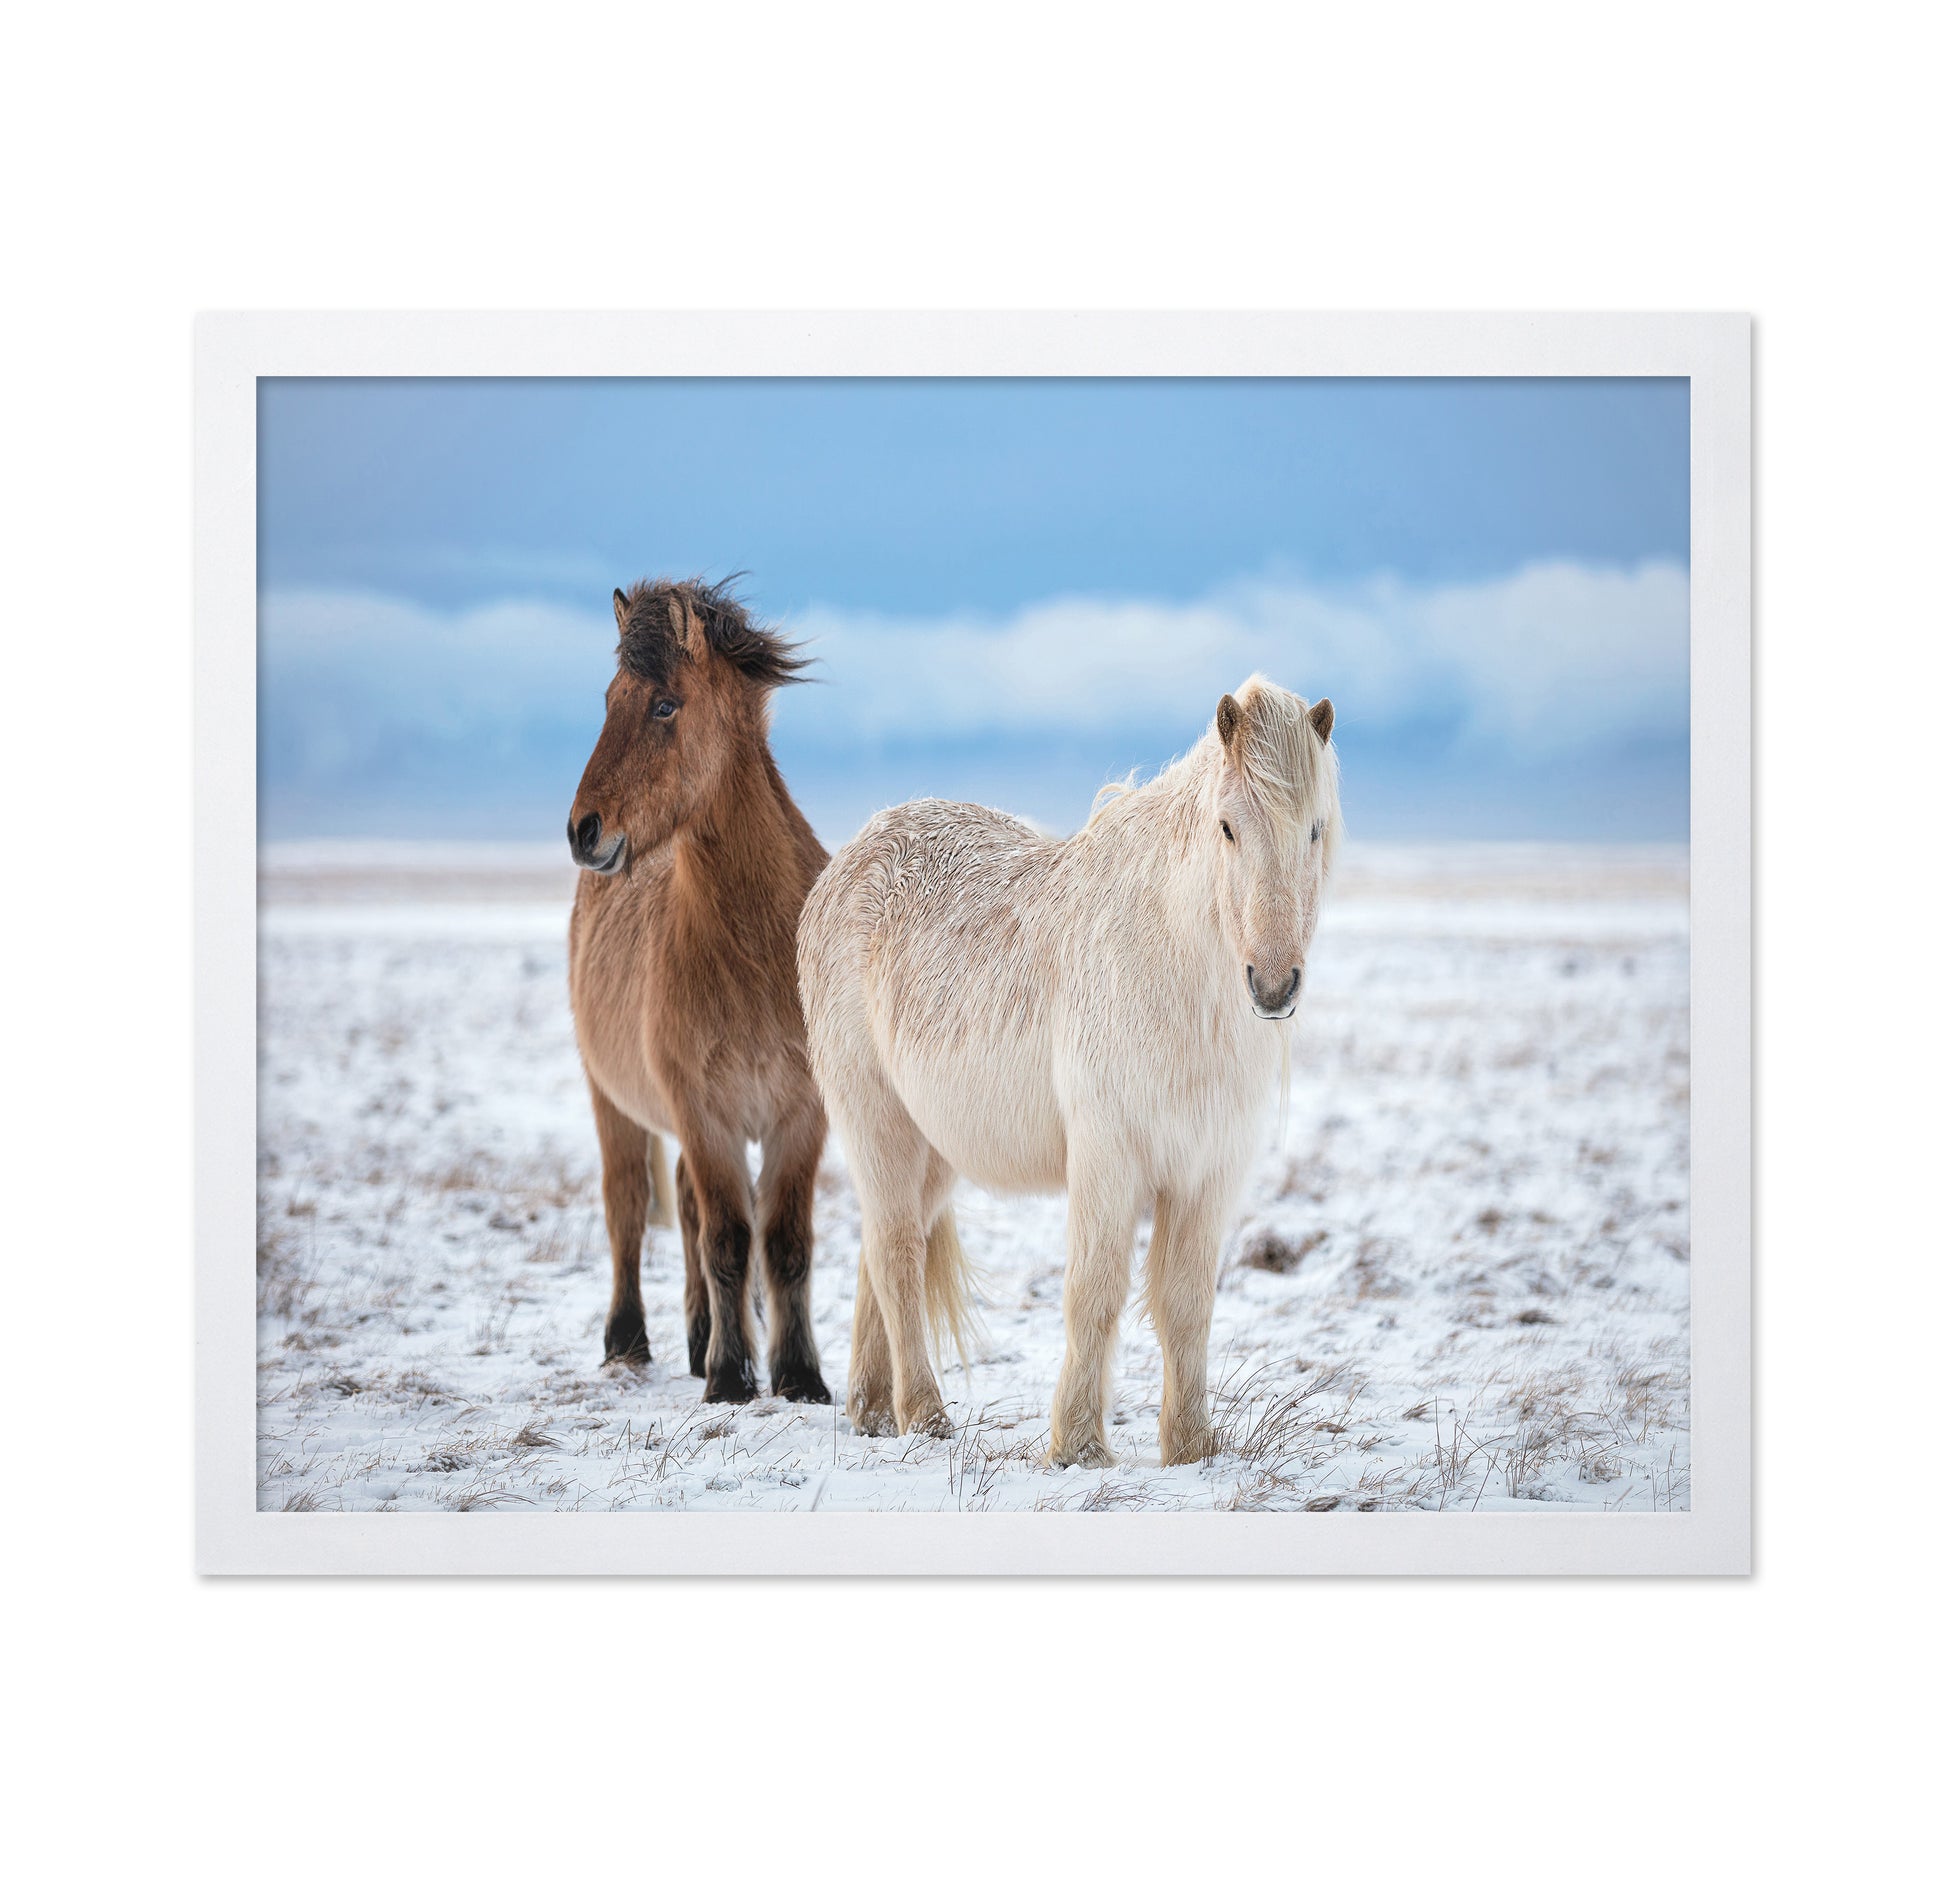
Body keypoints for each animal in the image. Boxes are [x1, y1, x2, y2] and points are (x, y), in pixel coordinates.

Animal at [566, 578, 833, 1404]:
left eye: (663, 704)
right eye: (608, 697)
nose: (583, 830)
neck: (754, 951)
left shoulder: (799, 1115)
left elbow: (783, 1242)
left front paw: (800, 1375)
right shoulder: (704, 1112)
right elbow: (726, 1239)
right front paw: (730, 1377)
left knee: (683, 1207)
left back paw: (696, 1334)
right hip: (613, 1100)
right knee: (629, 1208)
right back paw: (631, 1340)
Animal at [797, 676, 1341, 1466]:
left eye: (1315, 830)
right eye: (1228, 828)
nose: (1273, 986)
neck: (1171, 964)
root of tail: (844, 863)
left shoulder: (1208, 1171)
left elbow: (1186, 1303)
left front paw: (1191, 1446)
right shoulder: (1108, 1157)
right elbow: (1095, 1291)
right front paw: (1079, 1444)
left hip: (935, 1148)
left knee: (884, 1247)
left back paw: (872, 1410)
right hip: (876, 1119)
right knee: (897, 1255)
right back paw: (925, 1416)